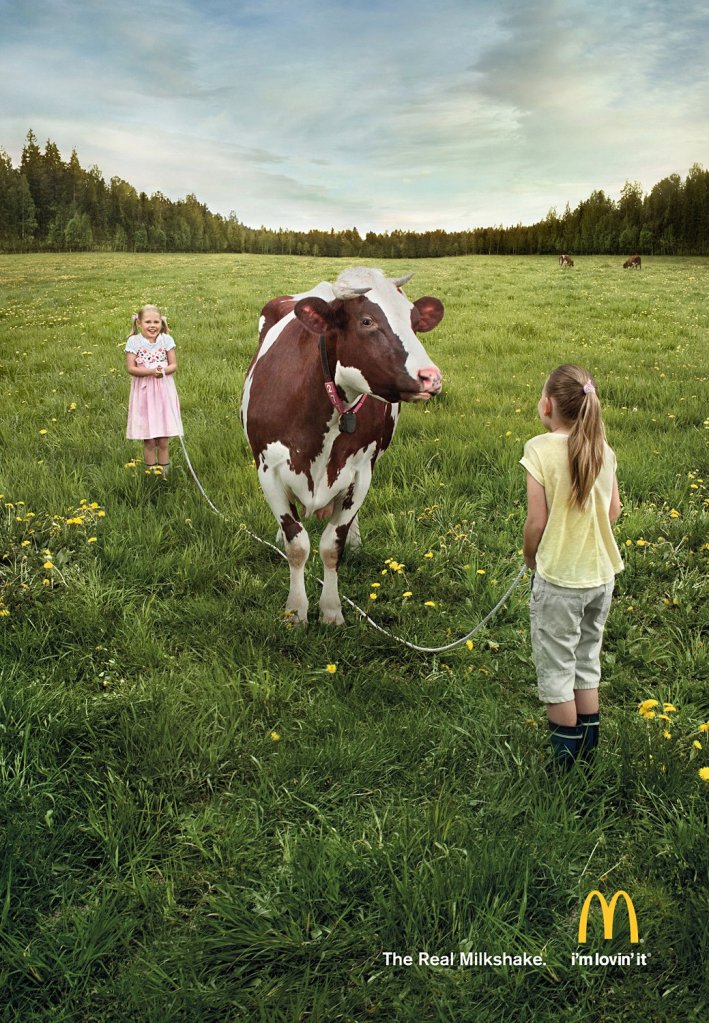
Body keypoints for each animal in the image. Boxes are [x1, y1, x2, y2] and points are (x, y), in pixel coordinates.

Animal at [241, 267, 444, 625]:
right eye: (366, 321)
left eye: (414, 320)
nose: (430, 377)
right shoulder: (269, 470)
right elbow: (297, 544)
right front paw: (296, 611)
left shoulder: (360, 473)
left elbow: (330, 545)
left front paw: (331, 610)